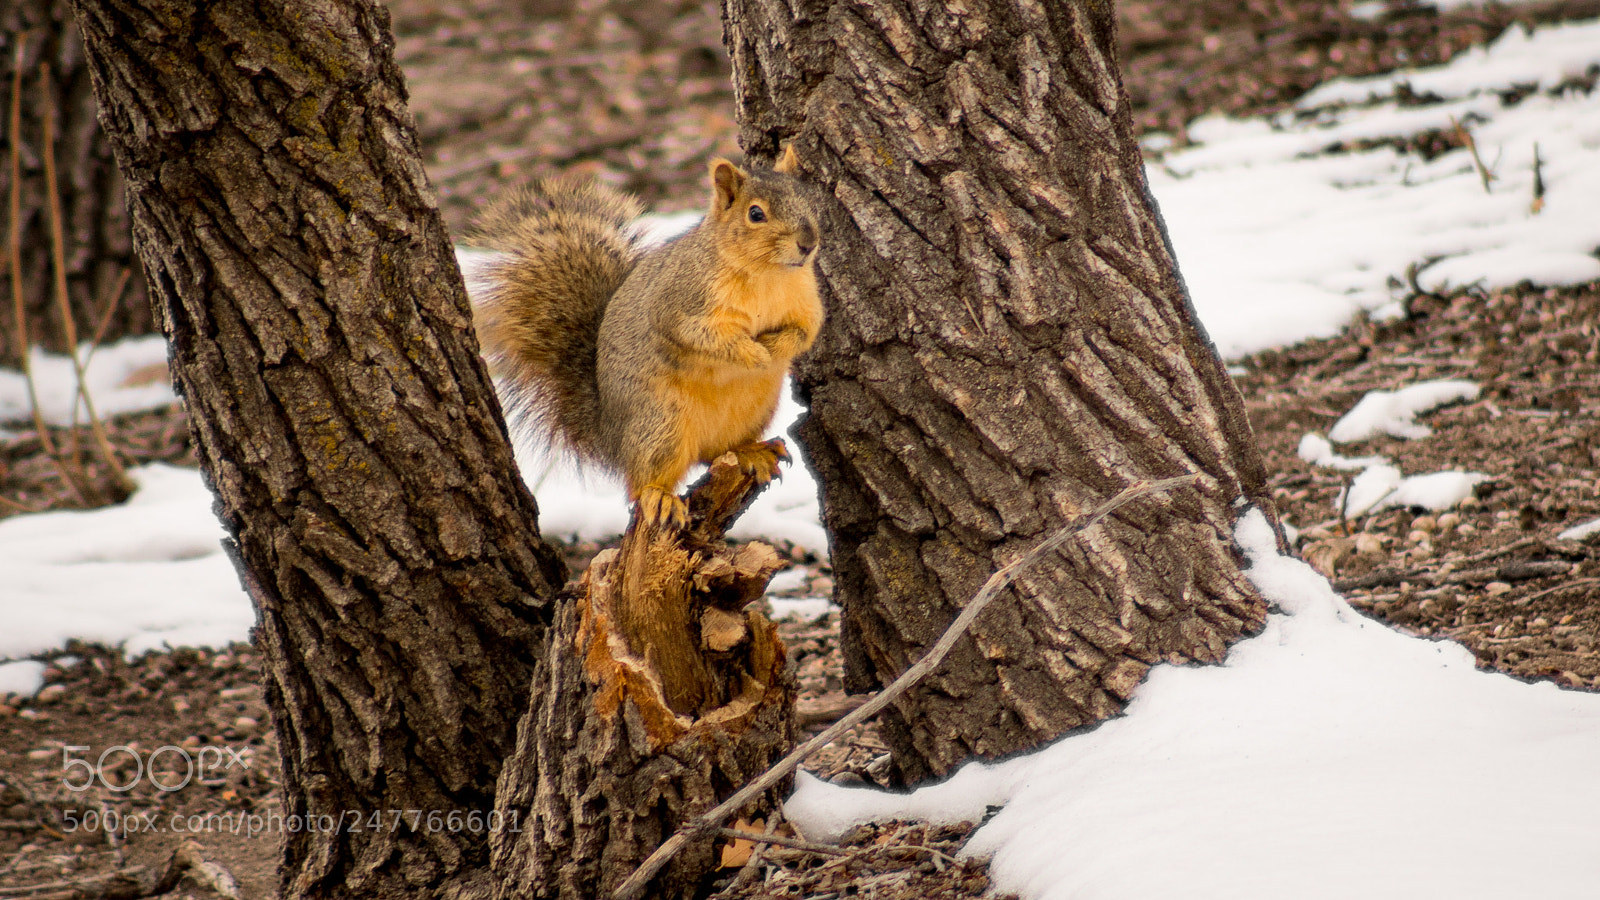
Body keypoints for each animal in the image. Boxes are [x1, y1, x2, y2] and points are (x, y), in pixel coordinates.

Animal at [470, 146, 824, 530]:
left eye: (810, 199)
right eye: (755, 214)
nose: (808, 244)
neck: (768, 275)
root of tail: (612, 437)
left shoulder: (807, 304)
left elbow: (805, 333)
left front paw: (775, 349)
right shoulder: (680, 304)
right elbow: (703, 337)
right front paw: (753, 354)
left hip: (751, 414)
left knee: (717, 452)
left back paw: (750, 452)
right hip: (661, 423)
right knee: (642, 480)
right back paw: (660, 496)